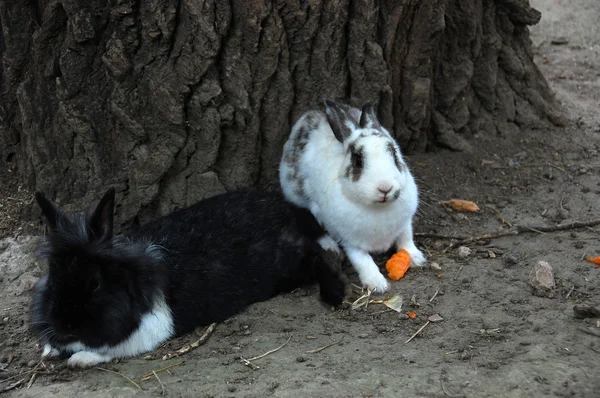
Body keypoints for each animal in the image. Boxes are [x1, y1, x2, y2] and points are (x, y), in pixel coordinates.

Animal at [31, 187, 346, 366]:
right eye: (53, 279)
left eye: (95, 284)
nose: (65, 324)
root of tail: (284, 205)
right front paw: (50, 350)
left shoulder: (148, 329)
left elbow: (113, 349)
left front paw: (79, 359)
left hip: (288, 262)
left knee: (317, 253)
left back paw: (334, 294)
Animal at [280, 99, 426, 292]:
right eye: (357, 160)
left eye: (395, 156)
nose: (385, 187)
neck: (379, 208)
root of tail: (310, 115)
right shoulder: (350, 240)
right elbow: (362, 259)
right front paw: (377, 284)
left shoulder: (404, 224)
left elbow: (406, 240)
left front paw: (417, 258)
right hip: (298, 198)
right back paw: (331, 247)